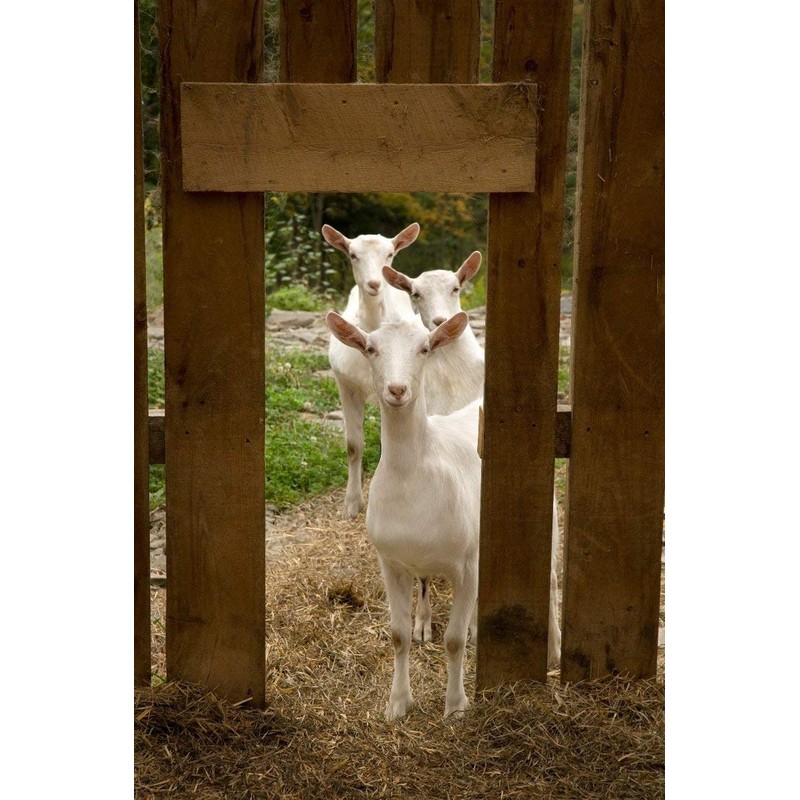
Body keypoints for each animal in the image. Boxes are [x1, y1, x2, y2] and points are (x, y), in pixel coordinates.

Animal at [322, 223, 419, 517]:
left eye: (390, 254)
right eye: (352, 254)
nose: (375, 284)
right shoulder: (345, 385)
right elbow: (353, 445)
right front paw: (352, 503)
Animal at [326, 309, 480, 719]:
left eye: (425, 348)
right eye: (370, 348)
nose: (397, 390)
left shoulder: (466, 564)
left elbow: (455, 641)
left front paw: (455, 706)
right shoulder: (391, 562)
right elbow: (397, 637)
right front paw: (397, 704)